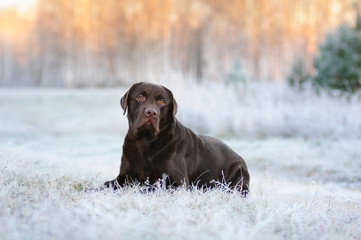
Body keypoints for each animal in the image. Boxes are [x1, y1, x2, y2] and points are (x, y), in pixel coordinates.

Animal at [104, 82, 249, 193]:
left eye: (161, 101)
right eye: (140, 97)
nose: (151, 112)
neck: (144, 142)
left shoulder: (178, 183)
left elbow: (151, 188)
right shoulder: (124, 176)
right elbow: (106, 184)